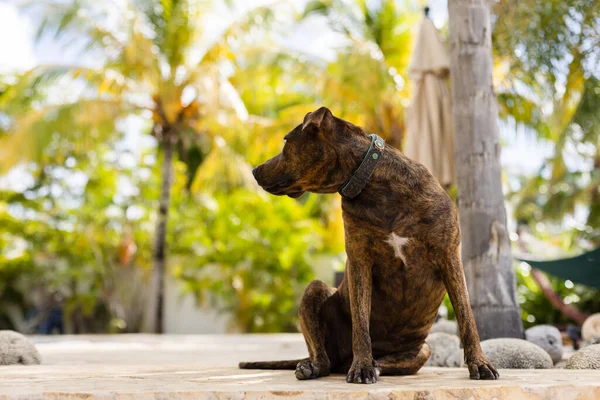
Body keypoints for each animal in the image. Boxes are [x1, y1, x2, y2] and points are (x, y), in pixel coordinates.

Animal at [238, 107, 496, 384]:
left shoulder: (449, 257)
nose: (254, 170)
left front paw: (480, 364)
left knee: (387, 362)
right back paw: (316, 366)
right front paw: (362, 367)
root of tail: (340, 361)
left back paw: (374, 364)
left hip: (423, 349)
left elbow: (467, 318)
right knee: (323, 358)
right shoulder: (360, 261)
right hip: (315, 291)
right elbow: (361, 323)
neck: (376, 186)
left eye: (286, 141)